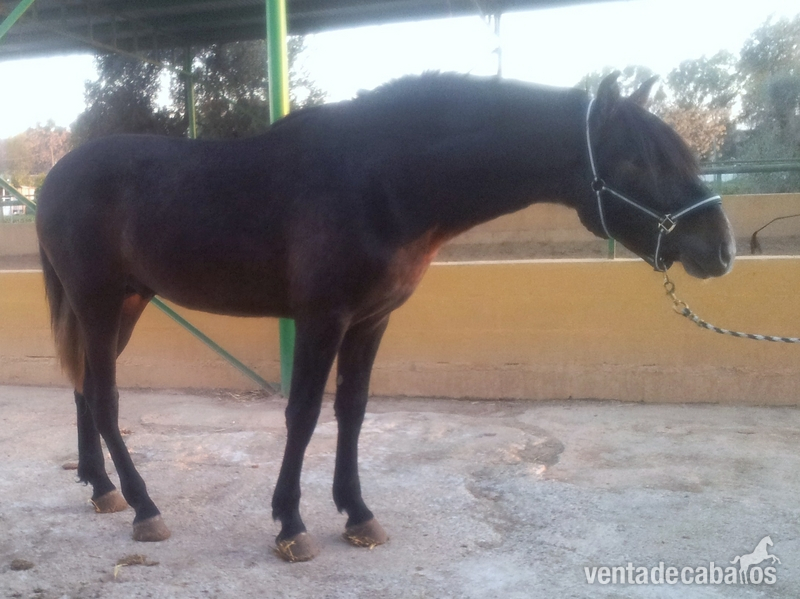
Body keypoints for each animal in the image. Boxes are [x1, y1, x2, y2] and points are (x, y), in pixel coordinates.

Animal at [35, 72, 735, 562]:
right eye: (638, 159)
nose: (721, 248)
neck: (383, 179)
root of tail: (54, 178)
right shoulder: (323, 318)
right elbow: (304, 415)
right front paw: (291, 524)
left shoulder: (371, 321)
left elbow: (353, 411)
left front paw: (358, 514)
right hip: (100, 301)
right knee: (105, 397)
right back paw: (144, 507)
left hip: (126, 303)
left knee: (85, 390)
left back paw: (101, 488)